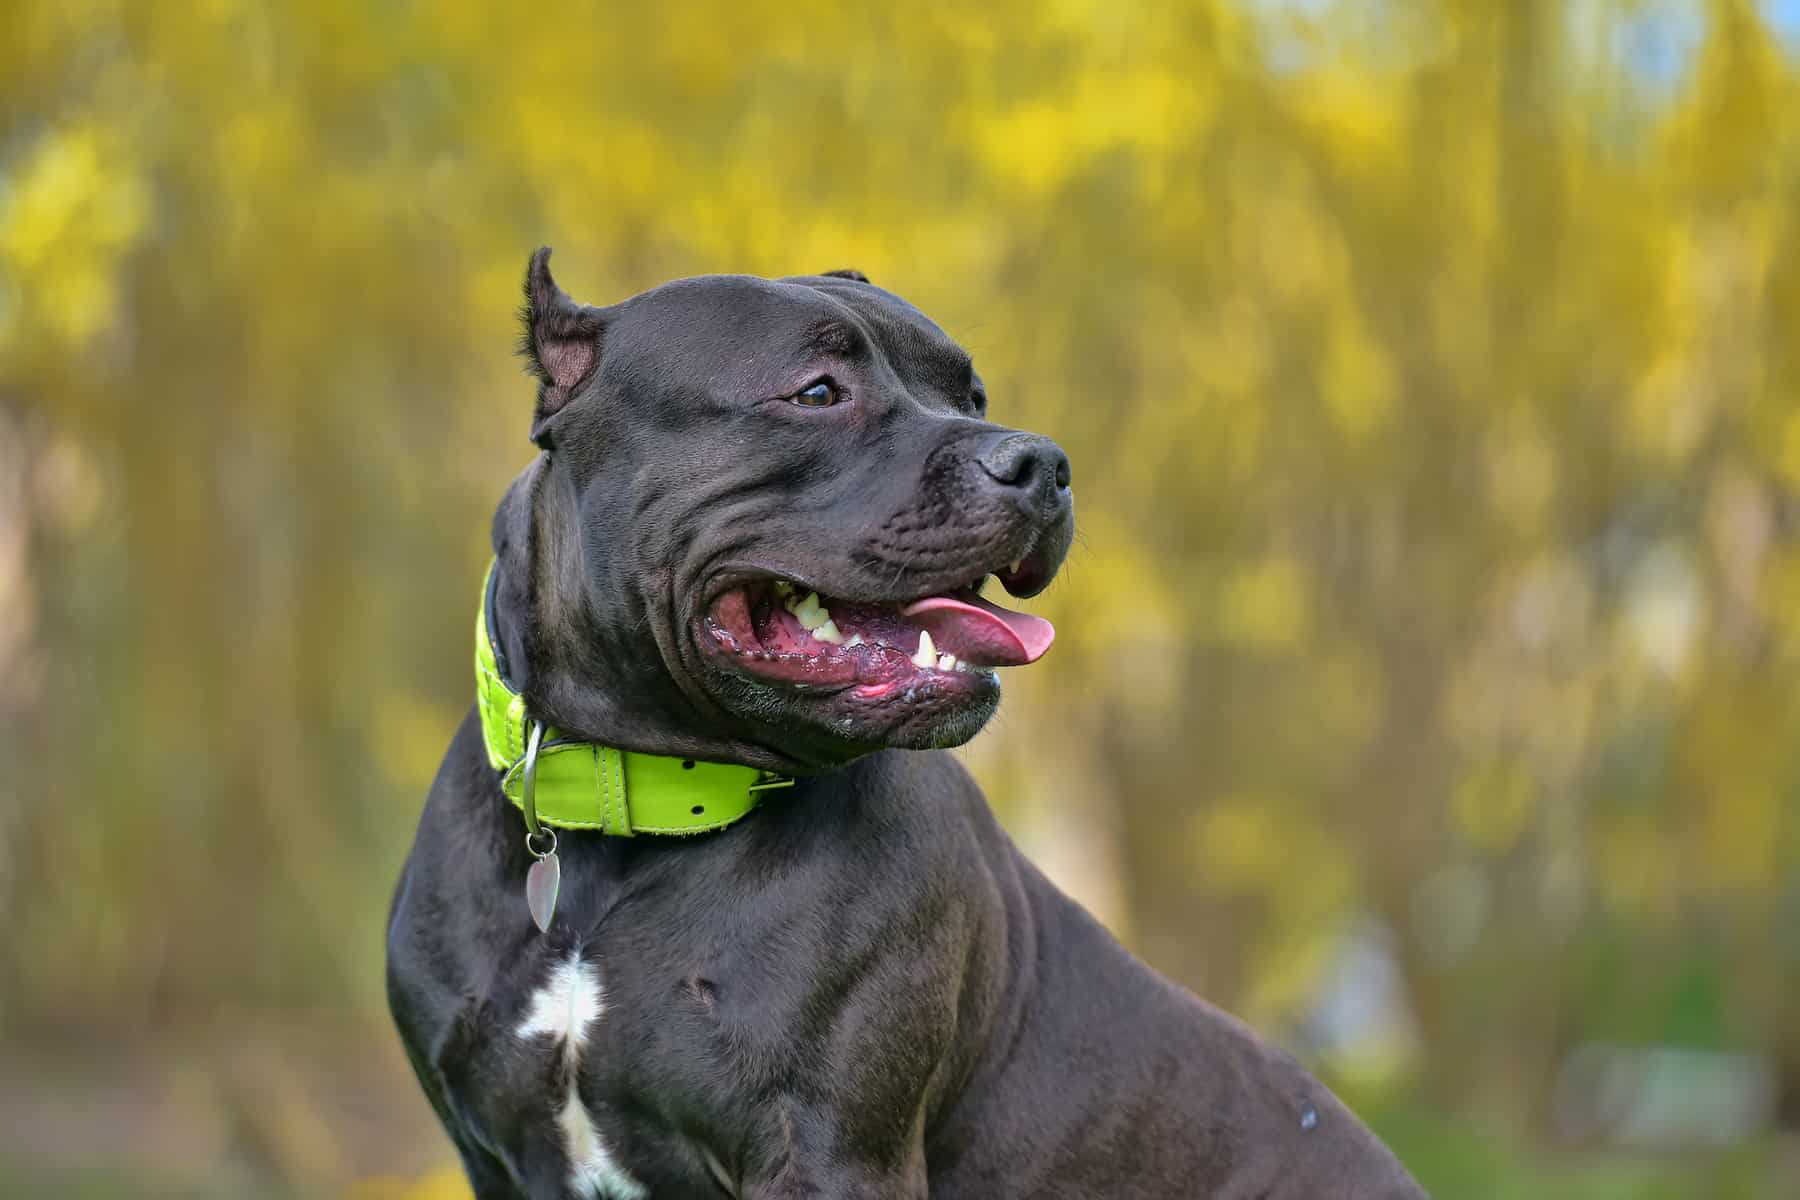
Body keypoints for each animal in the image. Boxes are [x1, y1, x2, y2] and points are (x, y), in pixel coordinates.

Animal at [387, 248, 1425, 1194]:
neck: (626, 819)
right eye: (816, 392)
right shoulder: (495, 1151)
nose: (1041, 463)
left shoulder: (834, 1153)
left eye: (971, 395)